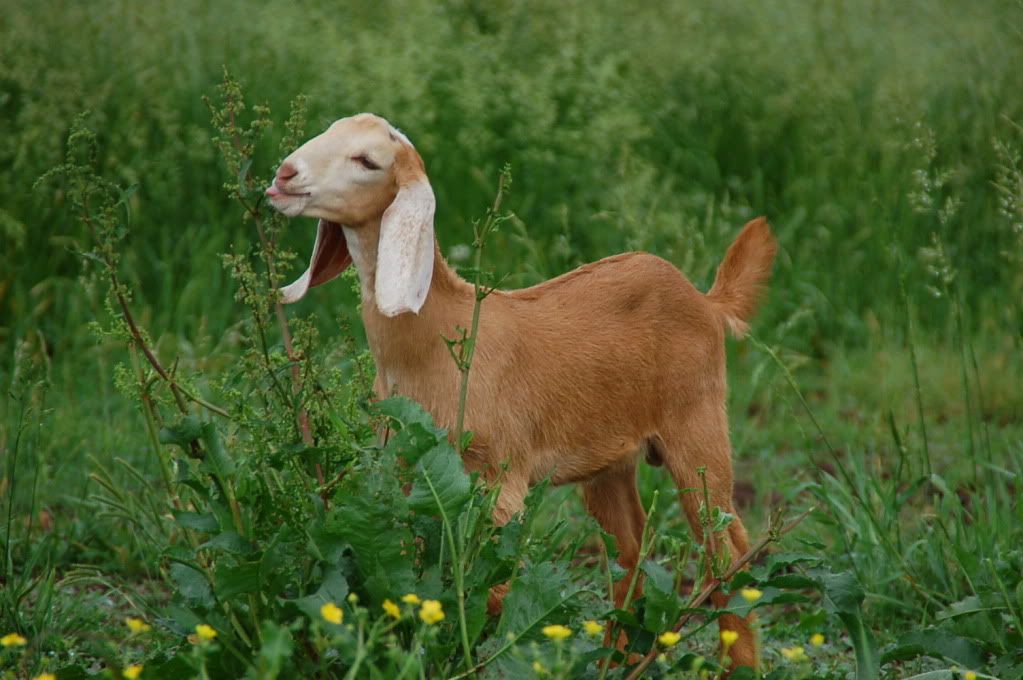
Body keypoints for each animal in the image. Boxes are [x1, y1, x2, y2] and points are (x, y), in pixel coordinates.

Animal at [266, 113, 777, 670]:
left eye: (367, 160)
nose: (285, 174)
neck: (439, 338)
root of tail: (707, 302)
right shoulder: (408, 470)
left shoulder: (500, 477)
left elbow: (493, 587)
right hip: (610, 460)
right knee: (629, 552)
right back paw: (613, 662)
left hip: (698, 424)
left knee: (727, 547)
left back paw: (738, 665)